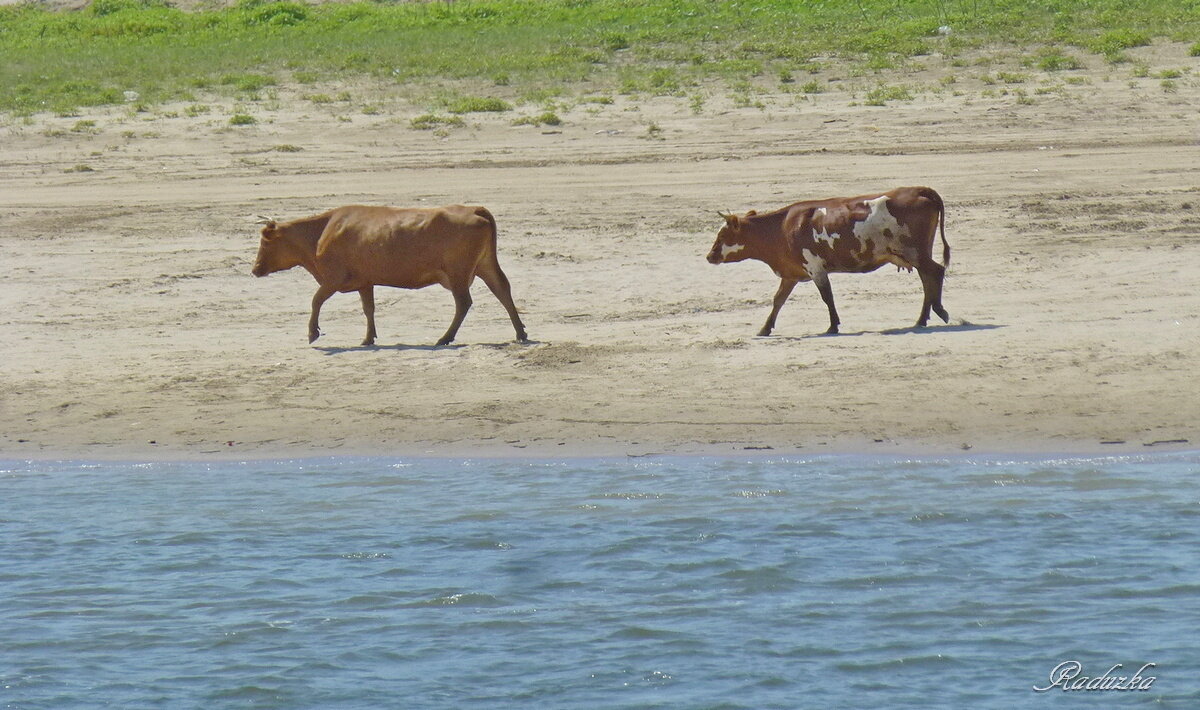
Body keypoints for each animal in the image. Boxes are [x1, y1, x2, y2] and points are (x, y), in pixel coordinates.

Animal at [250, 202, 528, 347]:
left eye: (266, 242)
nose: (254, 269)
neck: (322, 231)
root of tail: (473, 209)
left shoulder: (333, 279)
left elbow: (316, 300)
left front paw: (312, 332)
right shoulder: (365, 281)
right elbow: (368, 308)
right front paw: (368, 338)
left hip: (458, 273)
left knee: (464, 303)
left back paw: (445, 337)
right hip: (485, 266)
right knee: (503, 291)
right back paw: (520, 333)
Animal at [705, 185, 950, 335]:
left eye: (722, 236)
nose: (709, 256)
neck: (782, 227)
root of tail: (918, 190)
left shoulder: (815, 268)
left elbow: (827, 297)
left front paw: (833, 325)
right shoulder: (791, 273)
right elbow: (778, 300)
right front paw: (765, 328)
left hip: (915, 252)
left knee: (935, 272)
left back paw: (937, 311)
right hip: (917, 254)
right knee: (927, 279)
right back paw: (923, 318)